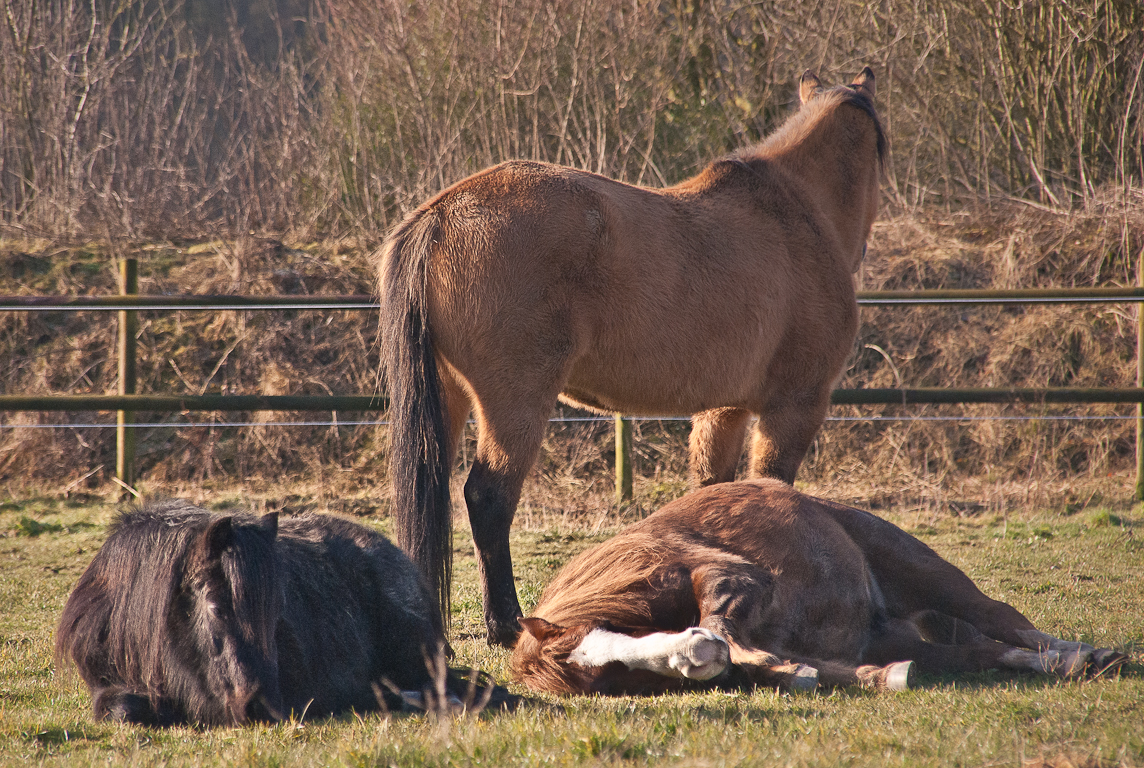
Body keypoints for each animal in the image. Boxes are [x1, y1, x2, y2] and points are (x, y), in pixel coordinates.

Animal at [379, 67, 887, 650]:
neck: (792, 214)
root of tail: (440, 216)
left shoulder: (724, 410)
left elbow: (714, 495)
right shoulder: (793, 408)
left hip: (448, 398)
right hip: (515, 403)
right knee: (488, 499)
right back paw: (505, 624)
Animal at [514, 480, 1130, 695]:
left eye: (618, 634)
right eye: (615, 678)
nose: (696, 658)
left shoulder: (724, 577)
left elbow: (723, 623)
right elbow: (804, 667)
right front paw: (870, 677)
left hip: (928, 574)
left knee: (1003, 619)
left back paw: (1081, 654)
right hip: (895, 633)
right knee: (981, 652)